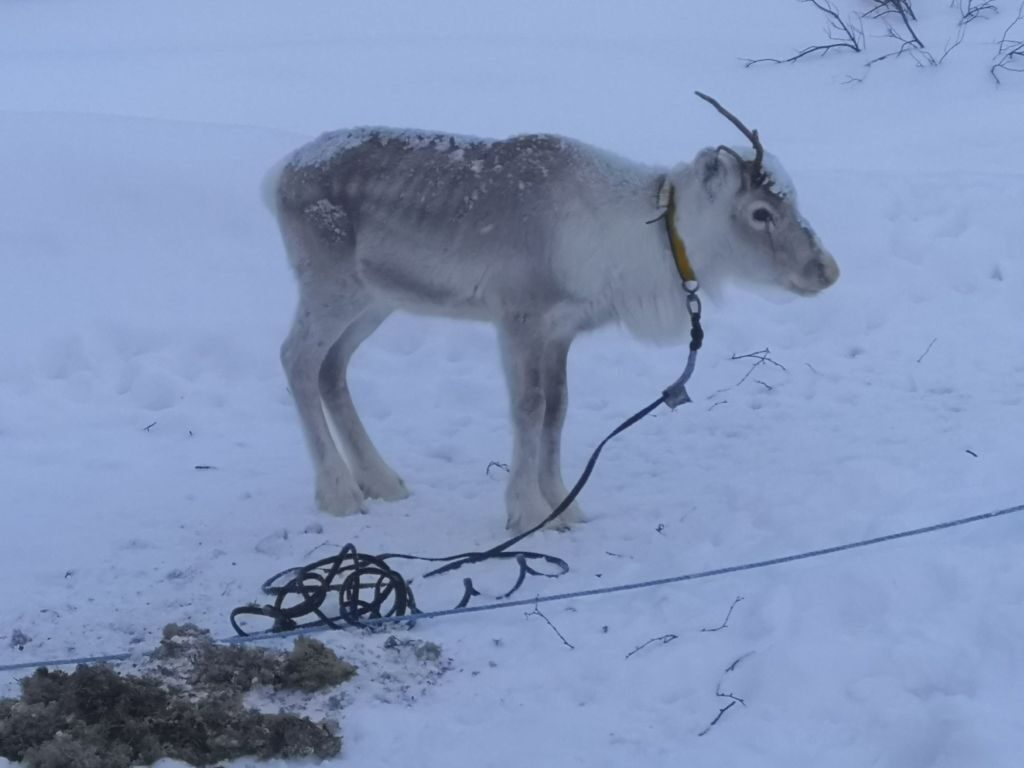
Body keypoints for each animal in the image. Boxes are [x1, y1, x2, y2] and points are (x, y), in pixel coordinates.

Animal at [264, 92, 839, 534]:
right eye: (761, 213)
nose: (827, 269)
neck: (639, 238)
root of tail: (276, 175)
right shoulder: (518, 315)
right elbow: (529, 407)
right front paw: (525, 511)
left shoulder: (563, 328)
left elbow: (558, 409)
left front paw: (565, 506)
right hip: (331, 284)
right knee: (296, 358)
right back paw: (339, 493)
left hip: (376, 299)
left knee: (332, 367)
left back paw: (382, 481)